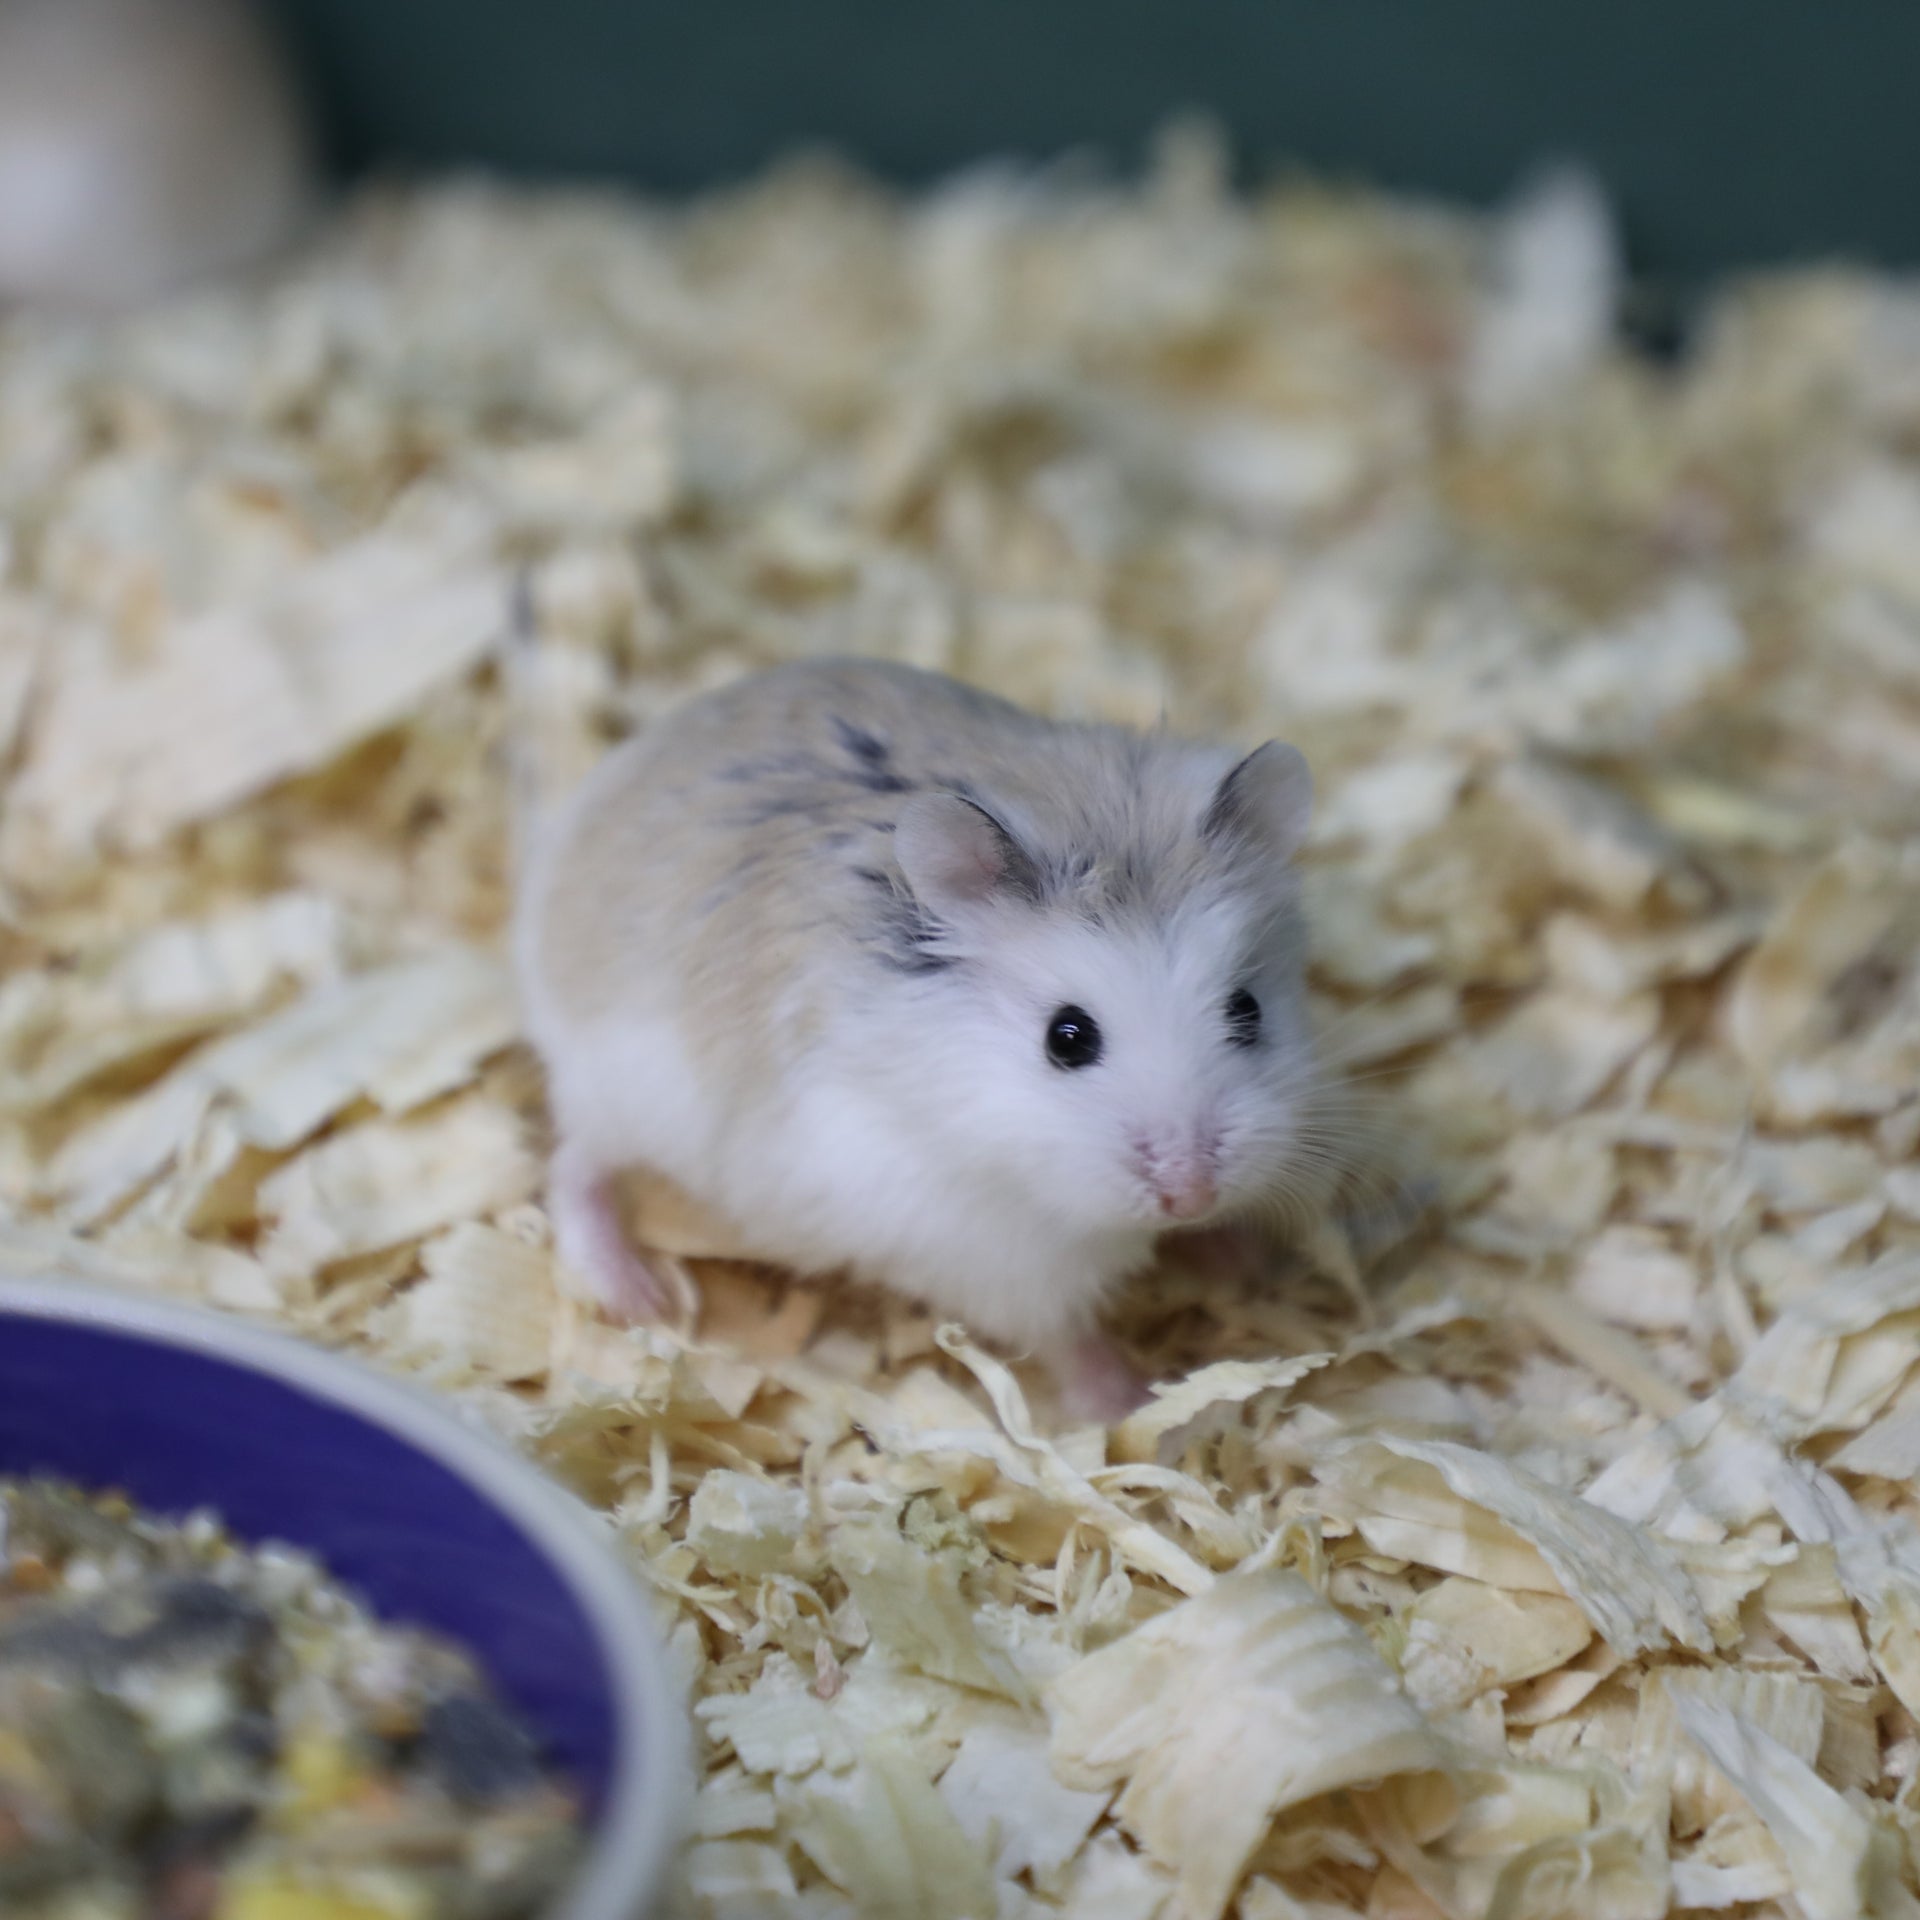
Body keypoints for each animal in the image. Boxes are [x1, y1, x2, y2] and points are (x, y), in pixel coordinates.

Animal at [514, 657, 1323, 1421]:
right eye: (1066, 1038)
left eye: (1247, 1010)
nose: (1190, 1191)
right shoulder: (986, 1257)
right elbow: (1066, 1336)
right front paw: (1131, 1404)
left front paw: (1250, 1261)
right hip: (619, 1090)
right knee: (575, 1168)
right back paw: (637, 1293)